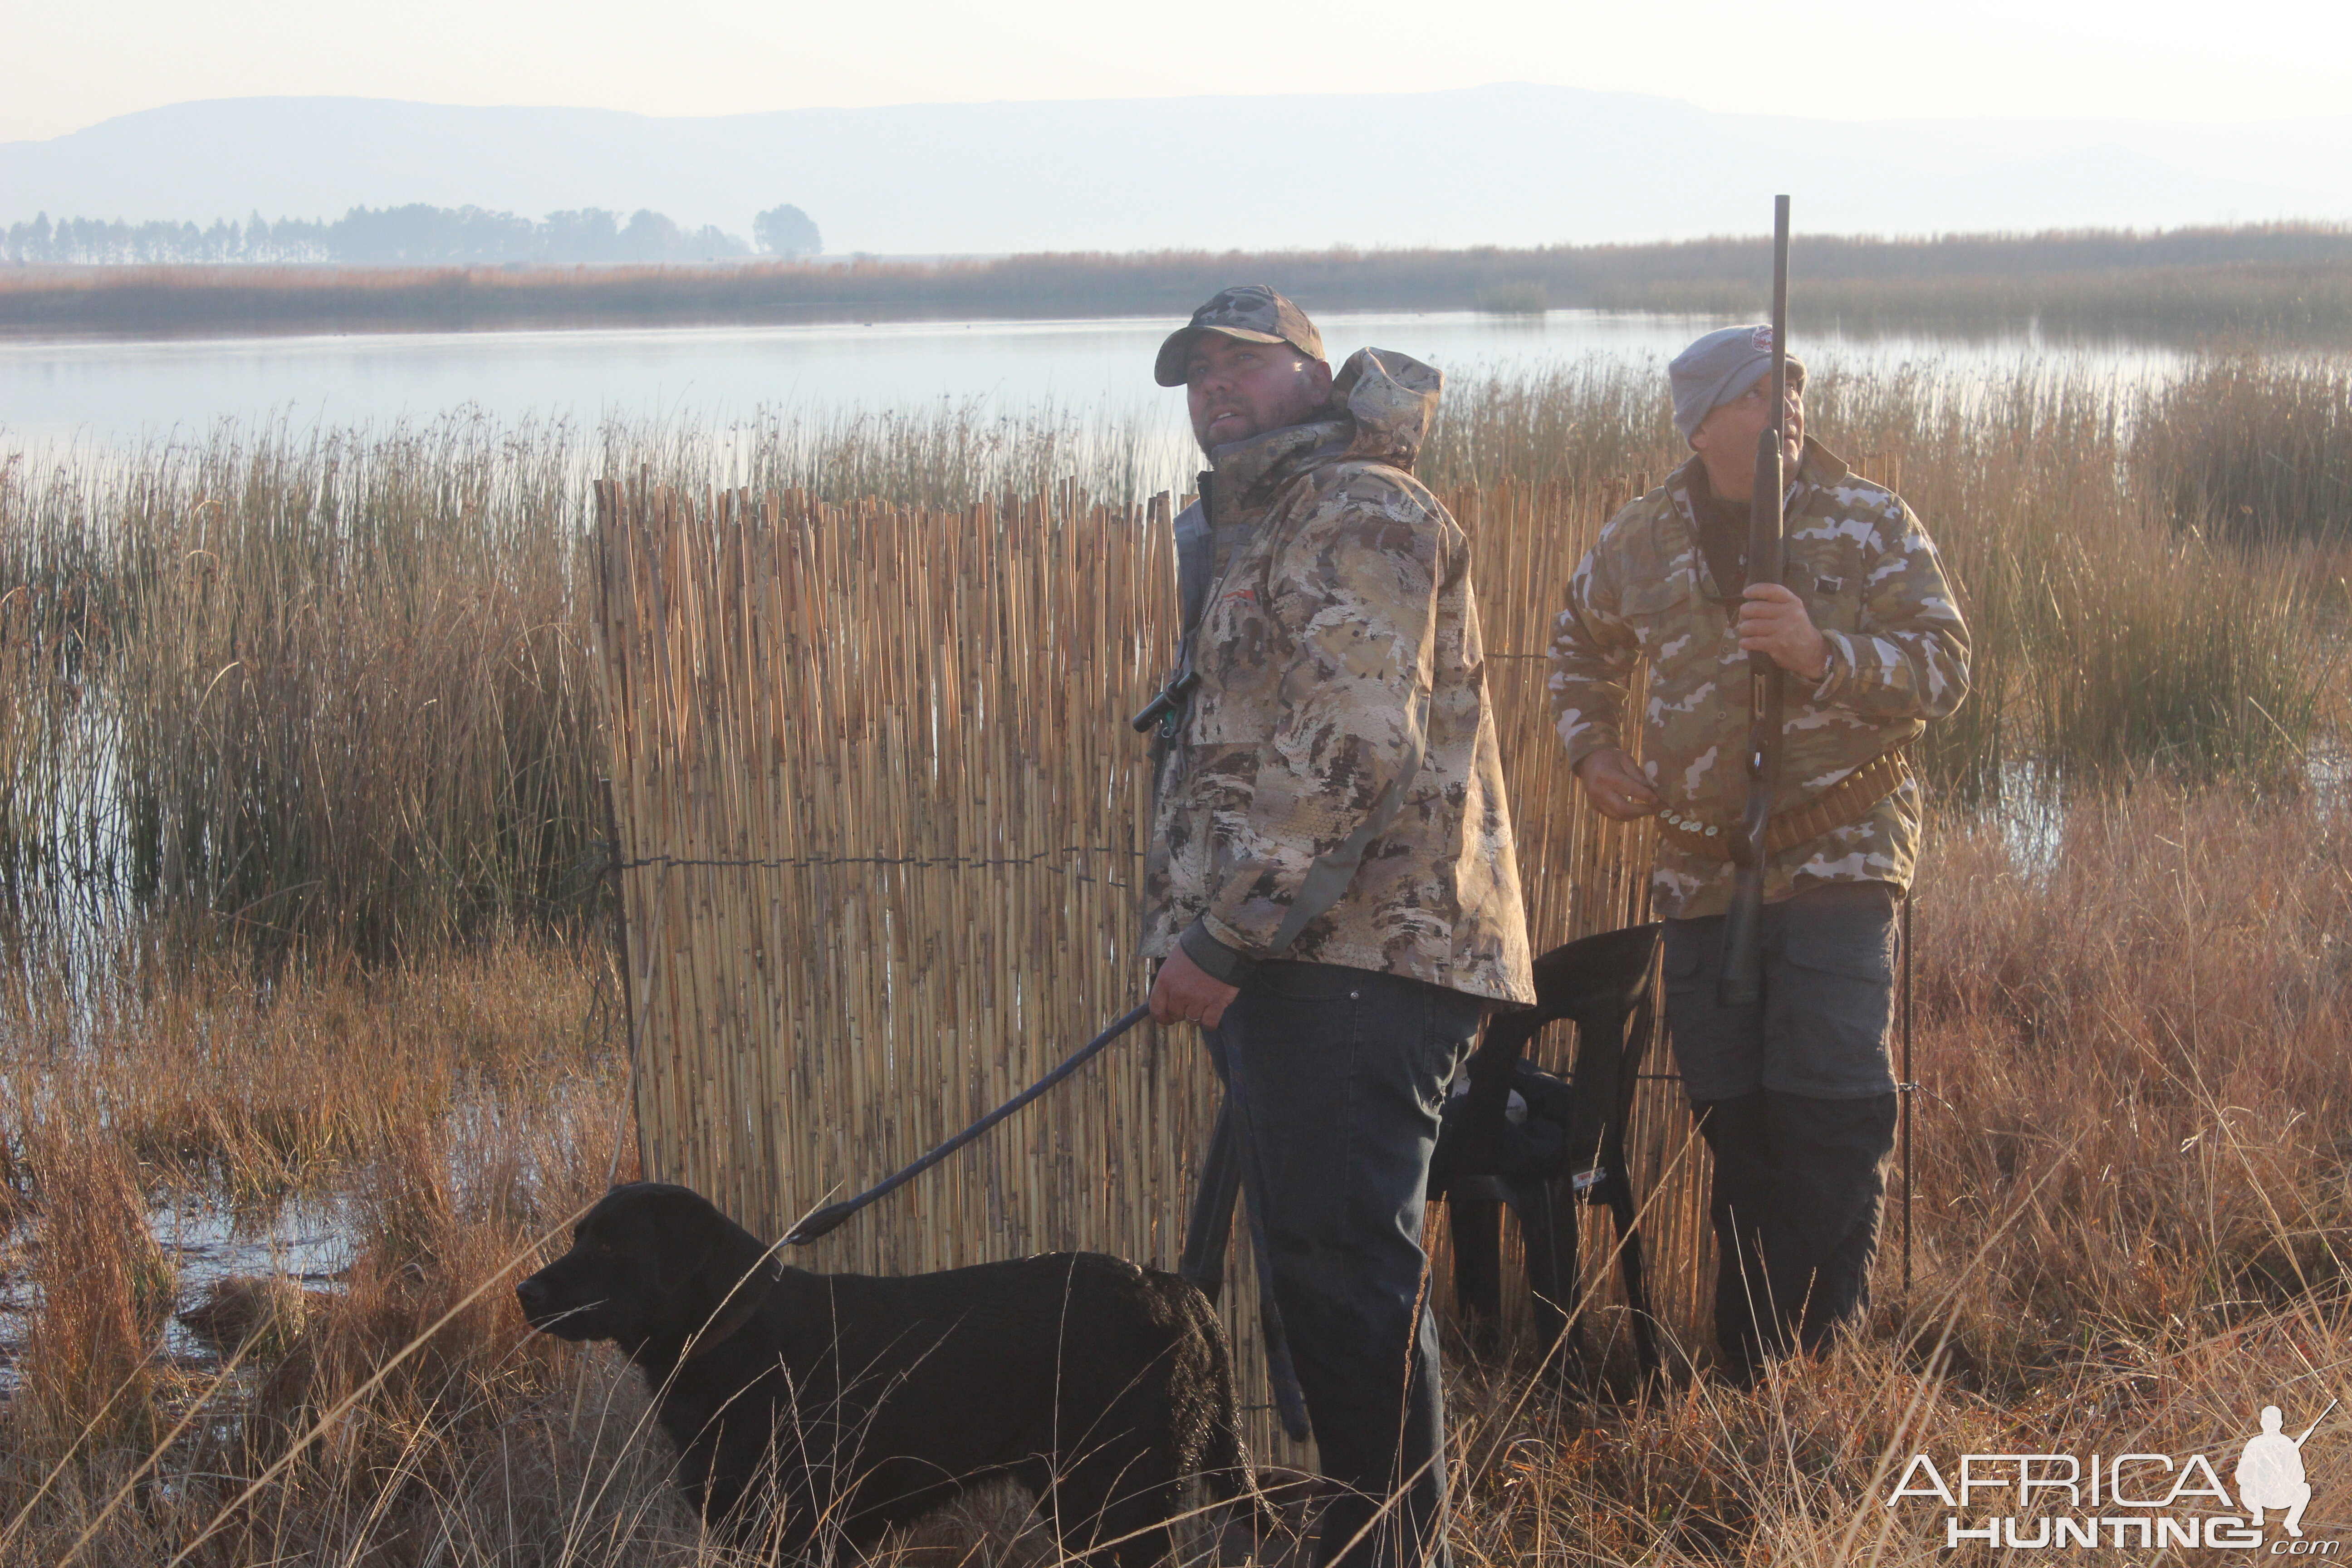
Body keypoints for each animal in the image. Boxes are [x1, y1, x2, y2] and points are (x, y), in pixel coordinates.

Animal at [524, 1185, 1279, 1561]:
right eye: (578, 1237)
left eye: (611, 1246)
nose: (525, 1292)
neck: (740, 1336)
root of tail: (1179, 1291)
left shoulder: (796, 1530)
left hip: (1114, 1500)